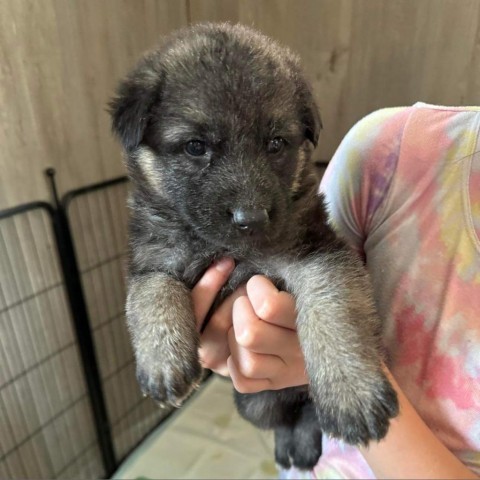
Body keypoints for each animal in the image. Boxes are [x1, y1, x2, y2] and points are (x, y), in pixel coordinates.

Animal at [110, 22, 400, 468]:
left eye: (276, 143)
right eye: (196, 146)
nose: (252, 219)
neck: (230, 250)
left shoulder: (318, 251)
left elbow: (334, 310)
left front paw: (353, 391)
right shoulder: (153, 260)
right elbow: (151, 296)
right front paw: (162, 361)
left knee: (308, 415)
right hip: (254, 402)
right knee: (286, 419)